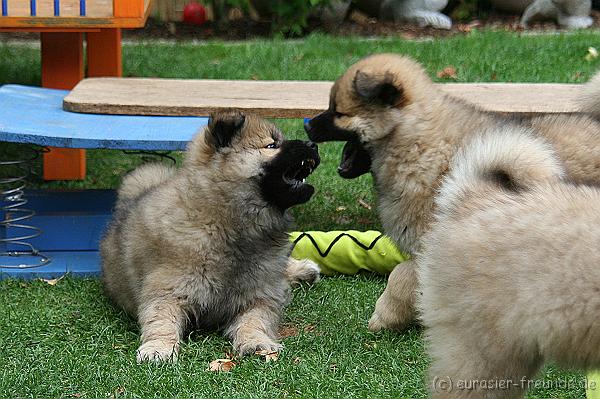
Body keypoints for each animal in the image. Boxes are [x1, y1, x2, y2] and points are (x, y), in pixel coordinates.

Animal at [101, 111, 322, 364]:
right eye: (271, 145)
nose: (313, 145)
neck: (226, 225)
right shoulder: (167, 291)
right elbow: (161, 321)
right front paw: (158, 348)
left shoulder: (260, 295)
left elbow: (255, 322)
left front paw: (257, 343)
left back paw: (304, 269)